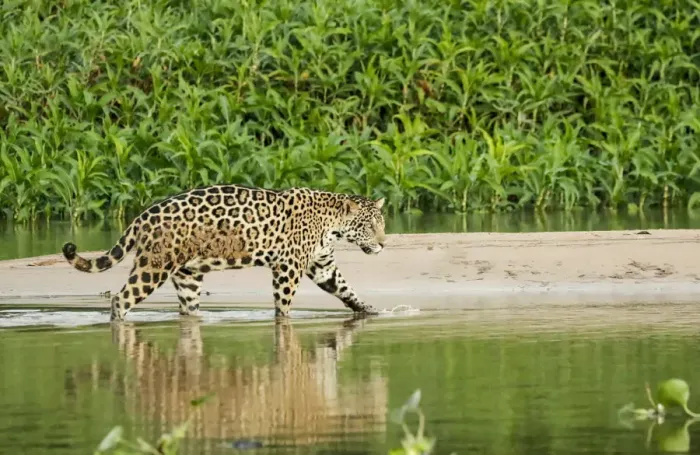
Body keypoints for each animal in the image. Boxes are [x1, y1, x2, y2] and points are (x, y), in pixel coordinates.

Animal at [61, 184, 387, 321]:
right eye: (369, 226)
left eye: (381, 224)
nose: (383, 244)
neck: (332, 223)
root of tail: (142, 216)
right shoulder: (288, 267)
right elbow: (283, 303)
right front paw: (284, 320)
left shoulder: (322, 264)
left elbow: (345, 288)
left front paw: (369, 309)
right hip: (153, 266)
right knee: (121, 299)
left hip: (188, 274)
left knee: (188, 308)